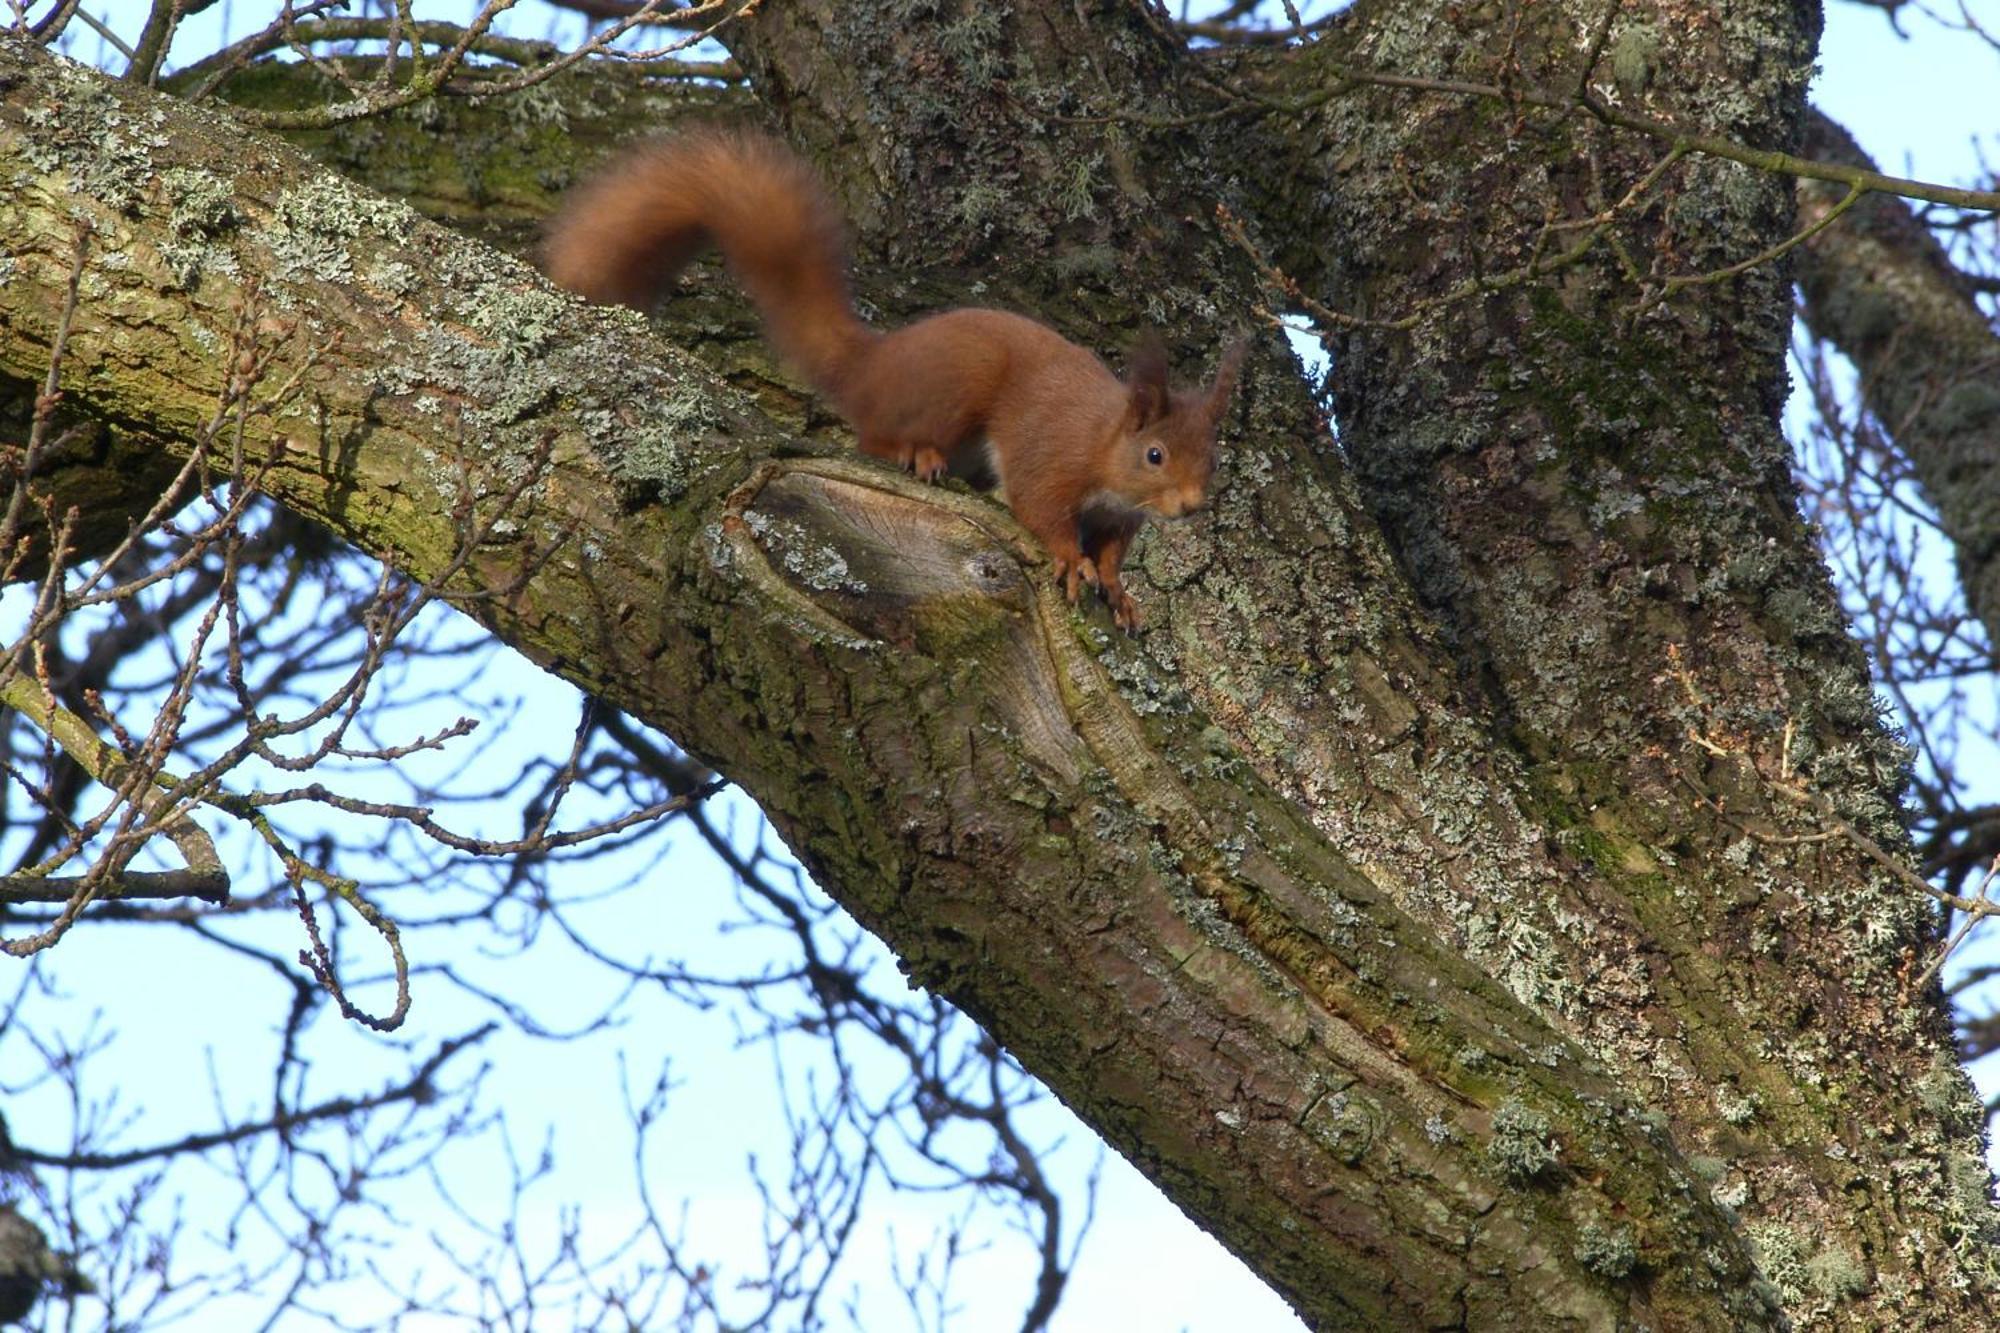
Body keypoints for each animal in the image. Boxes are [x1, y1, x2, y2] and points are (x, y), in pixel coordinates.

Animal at [540, 130, 1240, 628]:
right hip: (956, 387)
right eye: (1155, 454)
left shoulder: (1121, 518)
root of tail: (875, 364)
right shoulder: (1052, 457)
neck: (1104, 444)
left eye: (1212, 459)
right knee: (875, 436)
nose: (1191, 506)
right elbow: (1042, 510)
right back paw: (915, 453)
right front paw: (1071, 562)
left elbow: (1114, 555)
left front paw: (1119, 591)